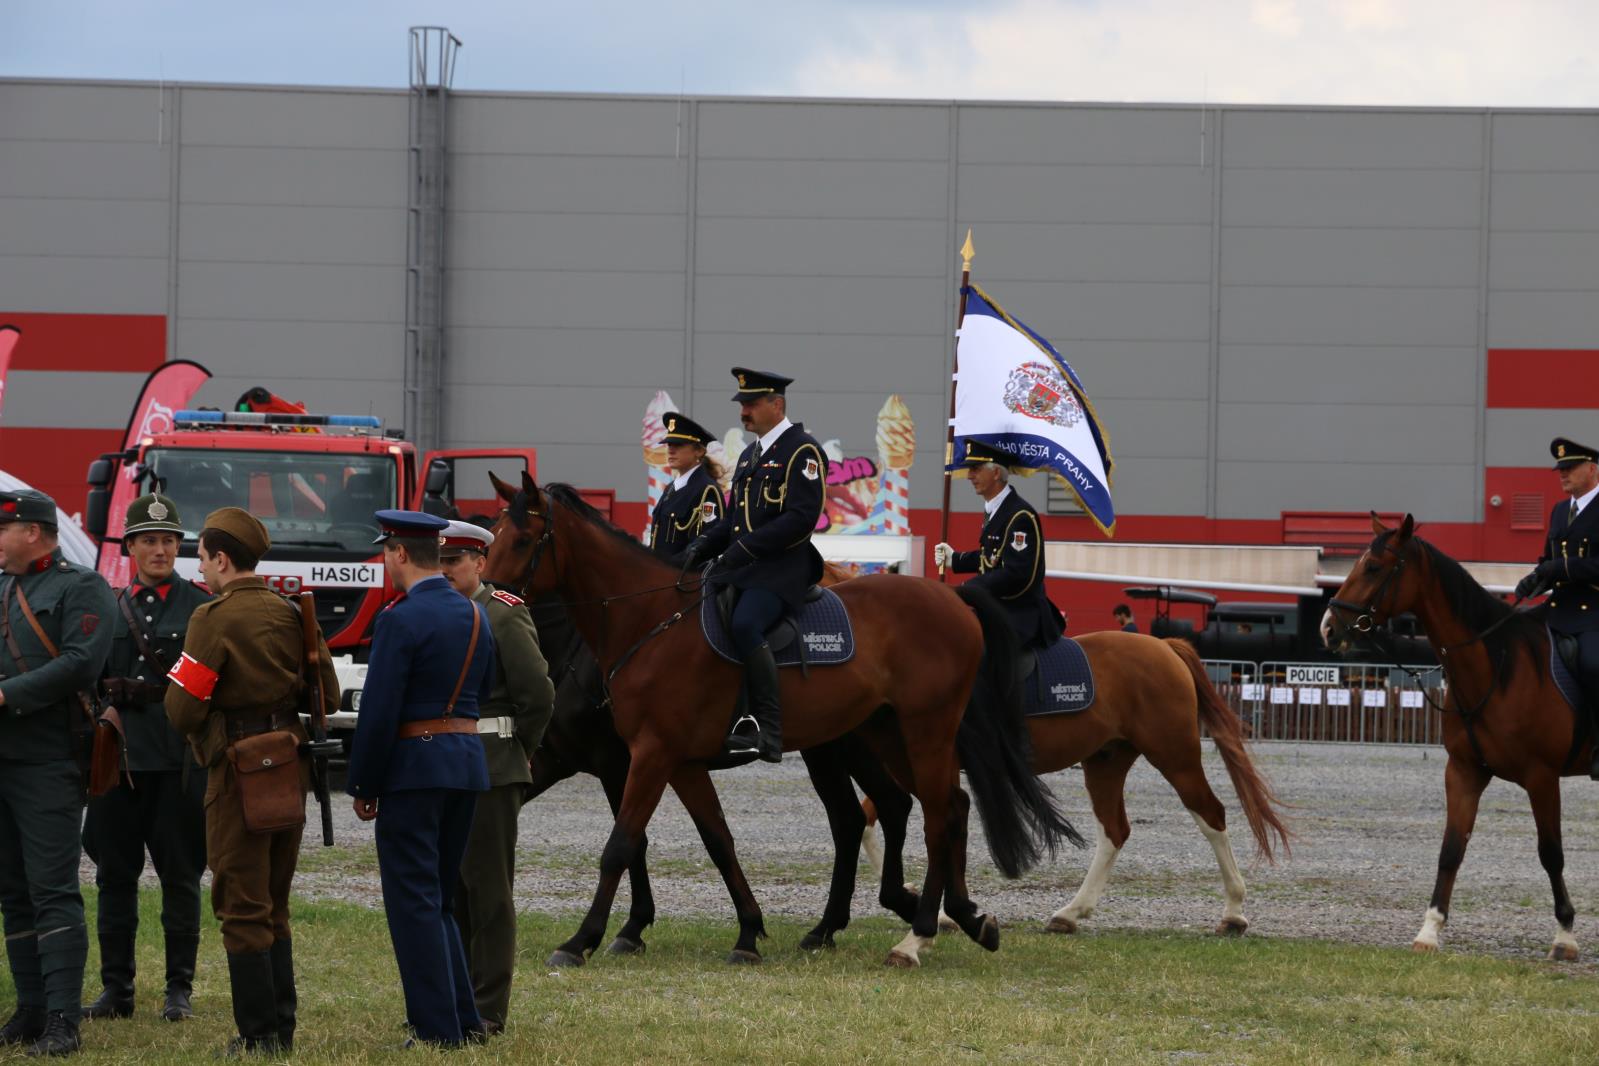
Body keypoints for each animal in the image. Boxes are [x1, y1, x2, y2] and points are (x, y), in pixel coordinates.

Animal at [479, 473, 1080, 965]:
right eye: (491, 540)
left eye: (524, 540)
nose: (484, 604)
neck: (648, 621)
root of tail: (954, 602)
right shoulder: (674, 761)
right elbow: (718, 841)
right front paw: (747, 932)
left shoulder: (645, 755)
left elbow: (621, 846)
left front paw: (582, 940)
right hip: (879, 735)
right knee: (922, 809)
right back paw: (952, 917)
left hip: (921, 731)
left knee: (934, 815)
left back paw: (920, 932)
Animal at [1317, 514, 1579, 958]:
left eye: (1373, 567)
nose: (1328, 629)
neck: (1498, 667)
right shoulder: (1464, 772)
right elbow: (1451, 850)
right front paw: (1430, 929)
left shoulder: (1542, 778)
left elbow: (1552, 853)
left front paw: (1564, 935)